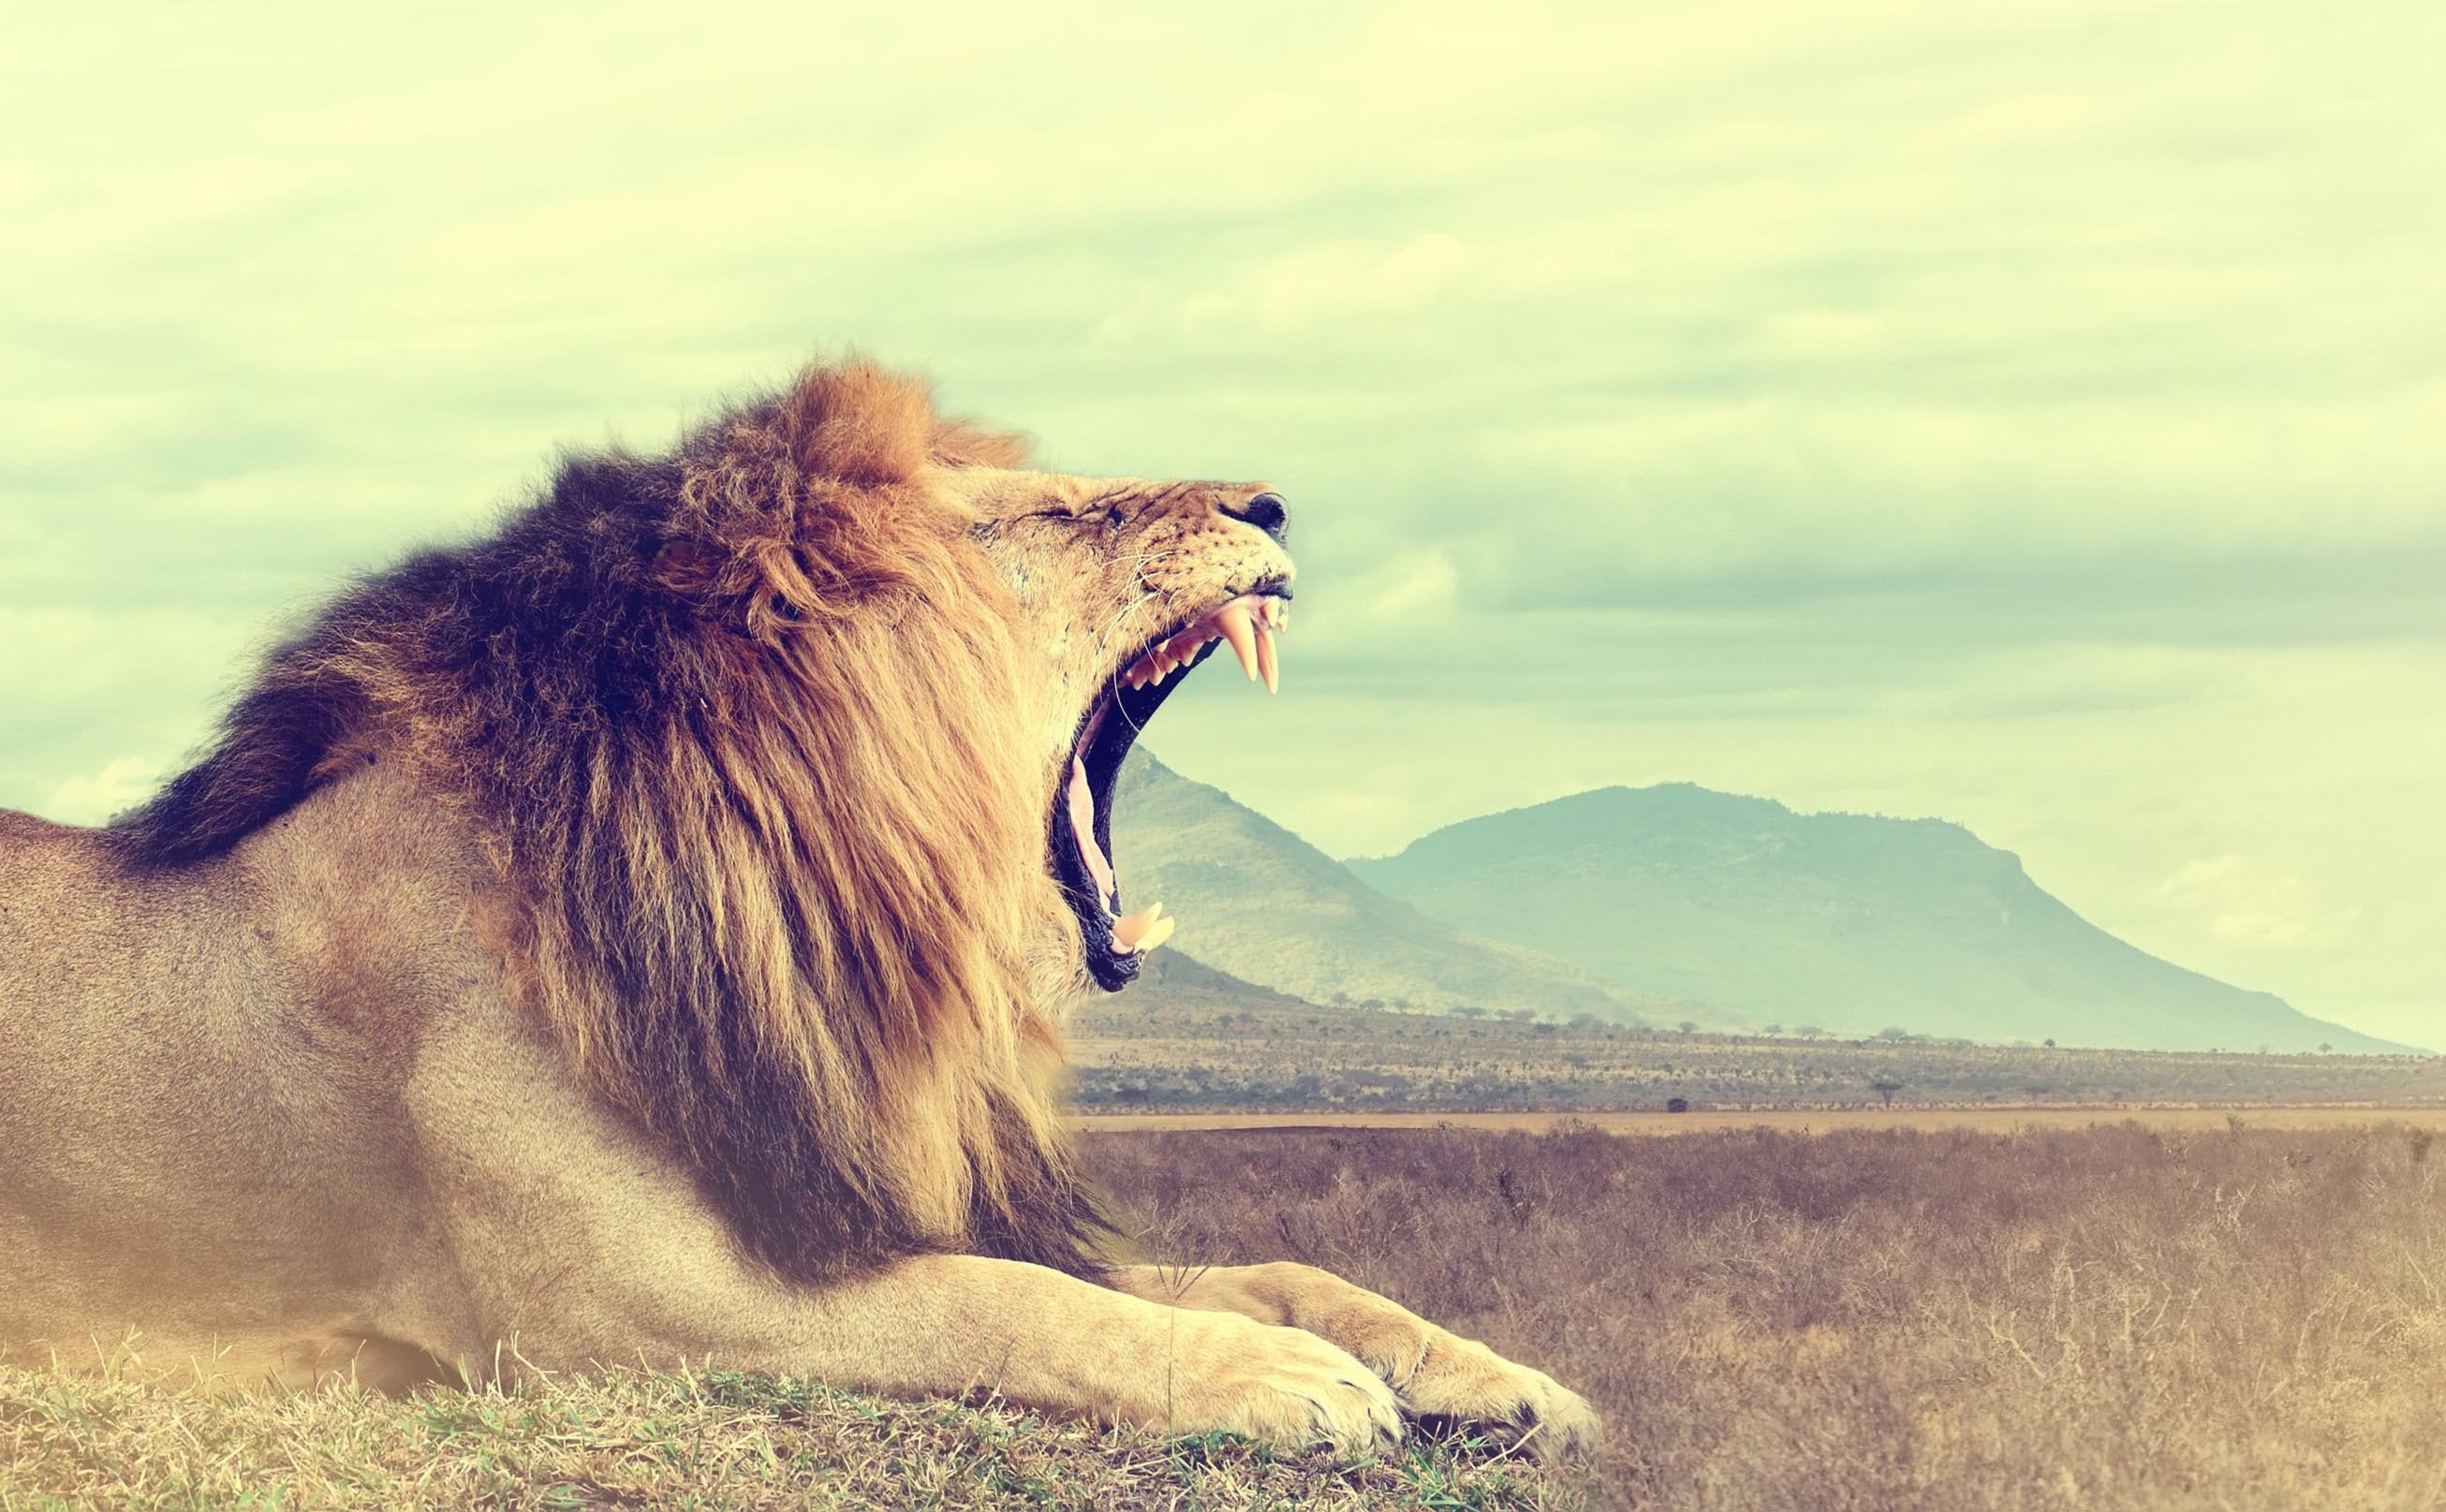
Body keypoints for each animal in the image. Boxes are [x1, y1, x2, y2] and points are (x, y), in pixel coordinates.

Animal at [0, 358, 1597, 1460]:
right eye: (1064, 513)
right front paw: (1278, 1379)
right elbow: (1007, 1301)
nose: (1268, 505)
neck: (816, 918)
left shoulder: (845, 1192)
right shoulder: (619, 1307)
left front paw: (1495, 1372)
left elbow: (1263, 1266)